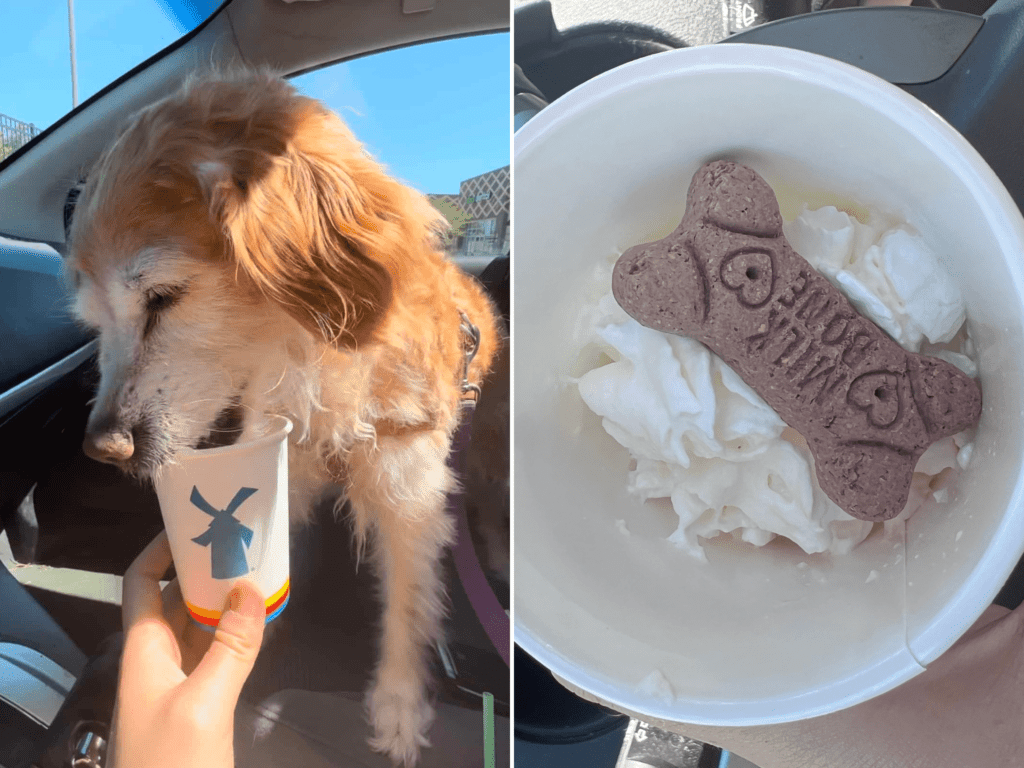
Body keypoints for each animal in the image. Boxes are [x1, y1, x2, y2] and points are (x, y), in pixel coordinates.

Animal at [66, 67, 497, 765]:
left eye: (162, 297)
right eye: (92, 321)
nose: (103, 447)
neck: (315, 363)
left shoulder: (410, 493)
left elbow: (410, 598)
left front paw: (399, 705)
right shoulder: (284, 465)